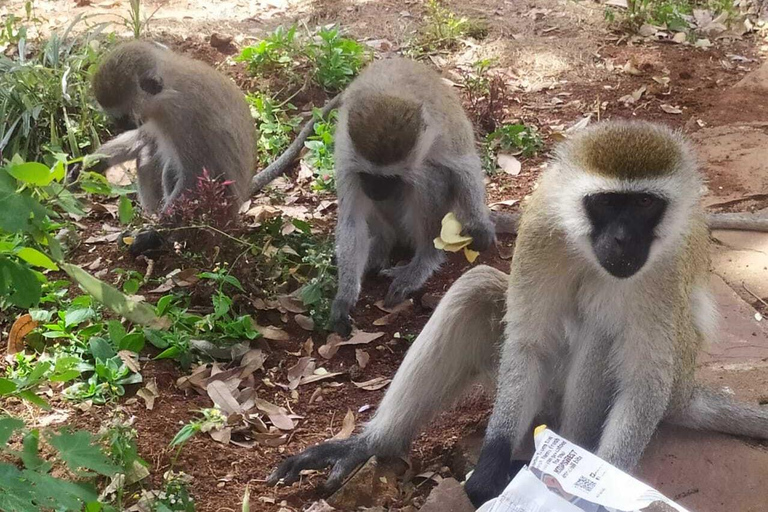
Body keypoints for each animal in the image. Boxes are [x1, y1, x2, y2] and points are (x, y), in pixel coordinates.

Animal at [81, 41, 255, 253]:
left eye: (123, 117)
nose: (119, 126)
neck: (171, 88)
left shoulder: (185, 117)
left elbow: (194, 176)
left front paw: (152, 234)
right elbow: (145, 137)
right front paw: (92, 162)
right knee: (149, 156)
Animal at [268, 122, 768, 506]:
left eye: (645, 203)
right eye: (607, 203)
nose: (624, 239)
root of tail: (687, 395)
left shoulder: (665, 268)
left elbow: (644, 382)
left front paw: (594, 487)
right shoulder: (542, 227)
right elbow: (527, 343)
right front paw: (490, 469)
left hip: (653, 388)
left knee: (601, 332)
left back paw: (567, 452)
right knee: (476, 291)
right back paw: (369, 445)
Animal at [330, 57, 498, 336]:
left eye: (389, 178)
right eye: (368, 175)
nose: (375, 191)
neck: (390, 92)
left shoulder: (442, 130)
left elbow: (464, 164)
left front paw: (479, 225)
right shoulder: (347, 159)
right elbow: (352, 221)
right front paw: (345, 295)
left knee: (428, 177)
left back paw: (423, 261)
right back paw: (382, 244)